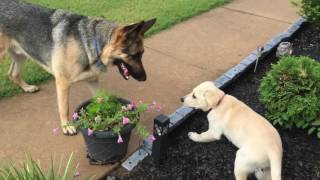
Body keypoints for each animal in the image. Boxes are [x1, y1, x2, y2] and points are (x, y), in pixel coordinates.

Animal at [0, 0, 156, 135]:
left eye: (141, 54)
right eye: (133, 55)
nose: (144, 78)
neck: (93, 42)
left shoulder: (92, 80)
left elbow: (101, 99)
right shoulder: (62, 83)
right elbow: (64, 107)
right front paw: (66, 126)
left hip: (21, 55)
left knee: (12, 74)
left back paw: (27, 88)